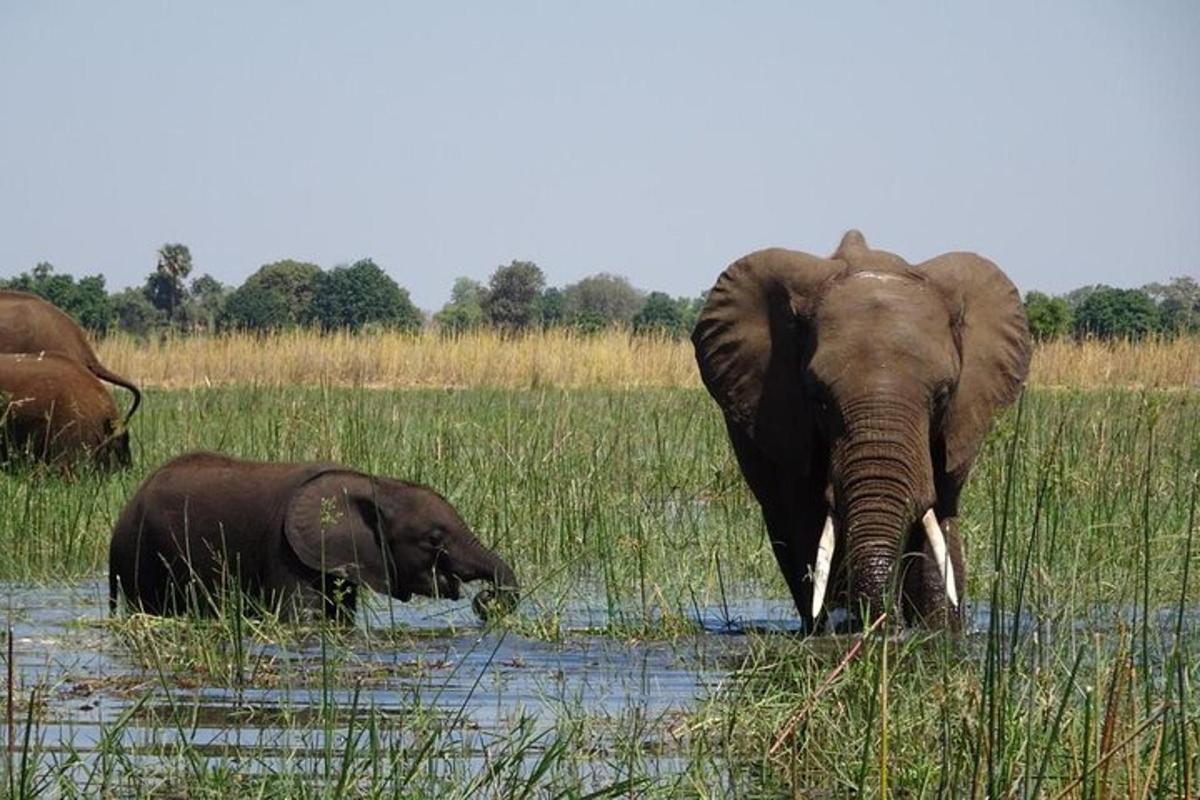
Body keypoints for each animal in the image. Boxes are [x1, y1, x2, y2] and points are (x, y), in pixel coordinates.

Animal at [112, 453, 520, 623]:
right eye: (434, 539)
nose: (487, 599)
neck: (372, 484)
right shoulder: (285, 553)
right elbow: (299, 617)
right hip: (137, 554)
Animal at [696, 231, 1032, 633]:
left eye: (943, 394)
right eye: (818, 398)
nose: (886, 621)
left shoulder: (961, 422)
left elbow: (939, 522)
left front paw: (938, 633)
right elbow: (813, 522)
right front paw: (848, 628)